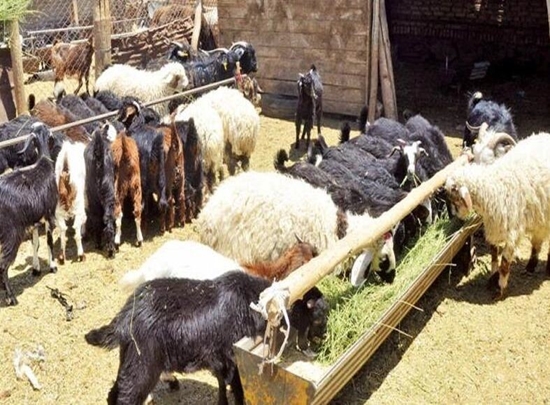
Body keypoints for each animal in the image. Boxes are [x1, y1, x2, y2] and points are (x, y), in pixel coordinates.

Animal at [0, 123, 58, 306]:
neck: (44, 163)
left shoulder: (34, 220)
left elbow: (35, 243)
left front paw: (36, 268)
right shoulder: (49, 214)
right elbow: (49, 241)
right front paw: (53, 267)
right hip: (11, 234)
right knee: (2, 266)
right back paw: (11, 298)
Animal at [85, 271, 328, 405]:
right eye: (317, 318)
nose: (323, 340)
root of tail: (126, 315)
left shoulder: (220, 360)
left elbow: (222, 385)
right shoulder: (233, 359)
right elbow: (238, 390)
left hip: (129, 359)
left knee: (114, 393)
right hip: (143, 364)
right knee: (126, 396)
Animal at [445, 132, 550, 298]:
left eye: (454, 194)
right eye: (474, 157)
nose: (458, 217)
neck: (494, 185)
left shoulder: (512, 233)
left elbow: (505, 263)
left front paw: (500, 288)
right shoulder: (493, 227)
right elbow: (494, 255)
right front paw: (493, 278)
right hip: (540, 217)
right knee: (537, 240)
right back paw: (530, 268)